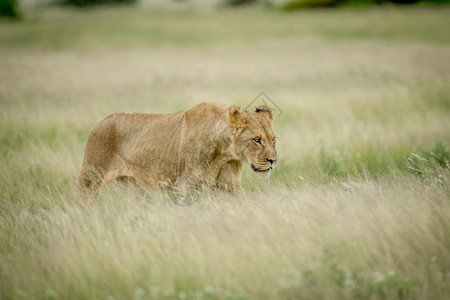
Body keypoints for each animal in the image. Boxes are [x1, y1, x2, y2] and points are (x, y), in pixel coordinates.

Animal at [77, 102, 276, 199]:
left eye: (273, 140)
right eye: (256, 140)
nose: (273, 161)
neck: (224, 153)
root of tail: (100, 122)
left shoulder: (229, 186)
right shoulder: (186, 186)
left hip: (133, 187)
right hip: (90, 178)